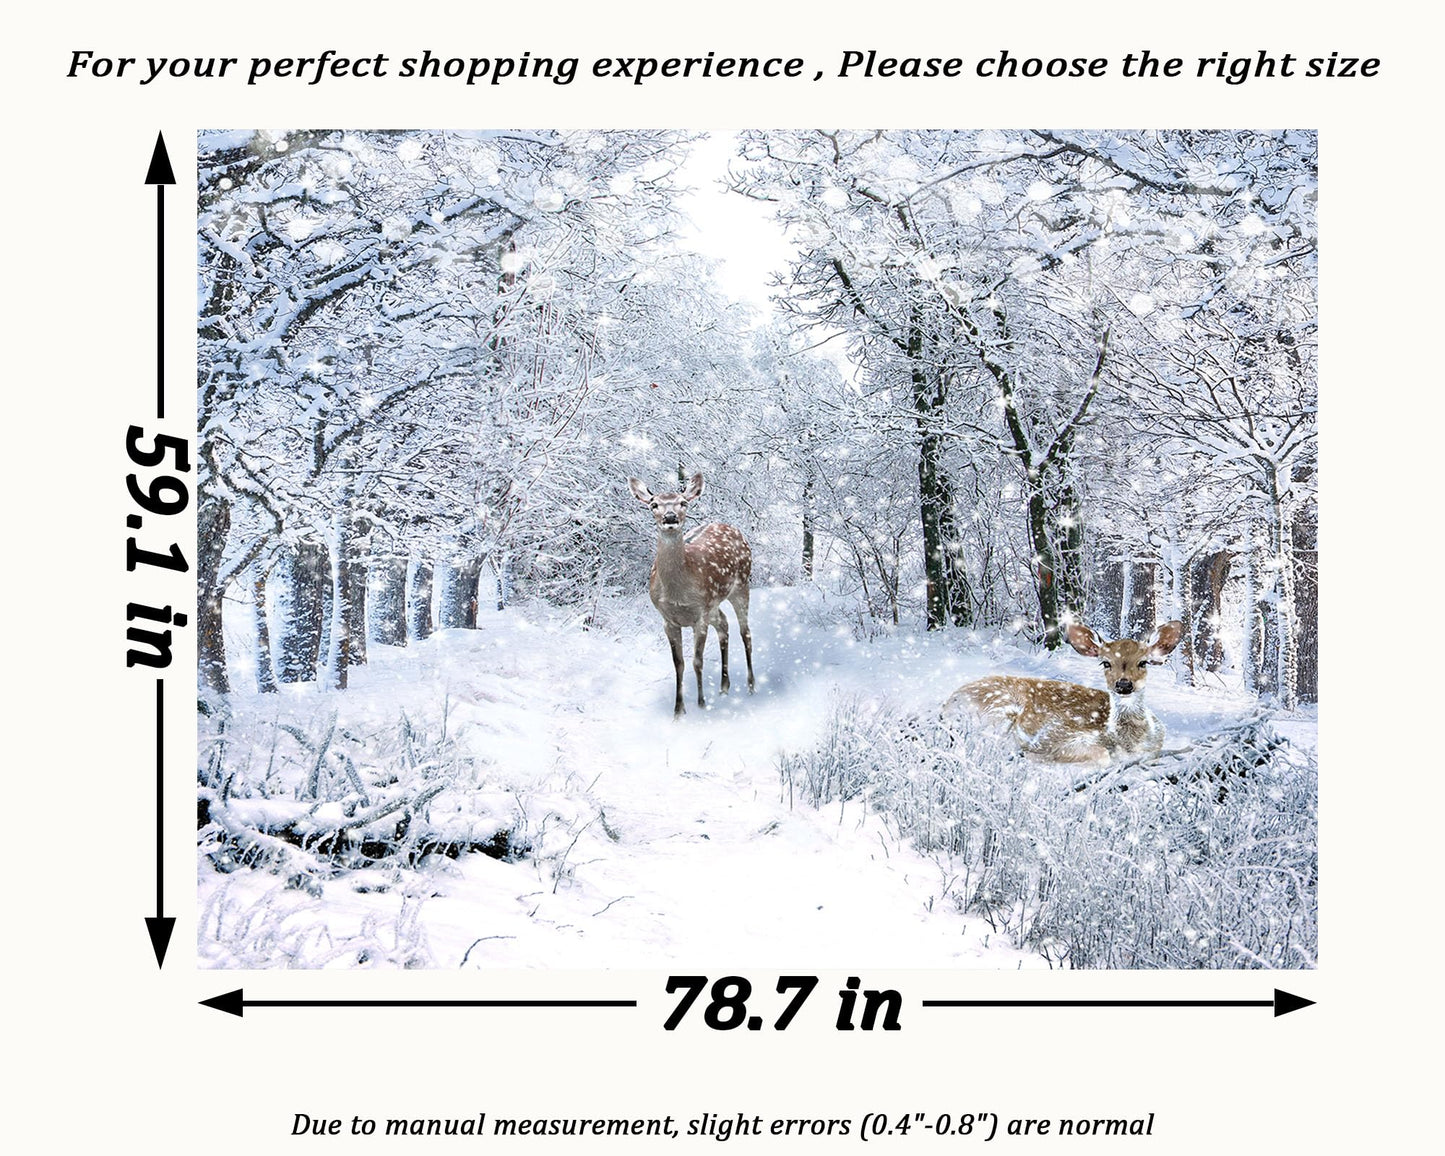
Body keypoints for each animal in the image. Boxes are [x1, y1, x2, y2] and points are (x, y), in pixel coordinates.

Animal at [629, 472, 755, 717]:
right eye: (653, 504)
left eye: (683, 503)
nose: (670, 517)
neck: (678, 593)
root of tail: (732, 528)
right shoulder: (668, 620)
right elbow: (679, 663)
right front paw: (678, 711)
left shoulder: (700, 616)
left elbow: (697, 661)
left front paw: (701, 704)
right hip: (714, 603)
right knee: (724, 624)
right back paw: (724, 686)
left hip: (741, 585)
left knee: (745, 632)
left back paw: (751, 685)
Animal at [945, 621, 1184, 764]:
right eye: (1105, 663)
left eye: (1143, 662)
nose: (1124, 685)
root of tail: (945, 706)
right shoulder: (1060, 732)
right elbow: (1101, 754)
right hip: (999, 710)